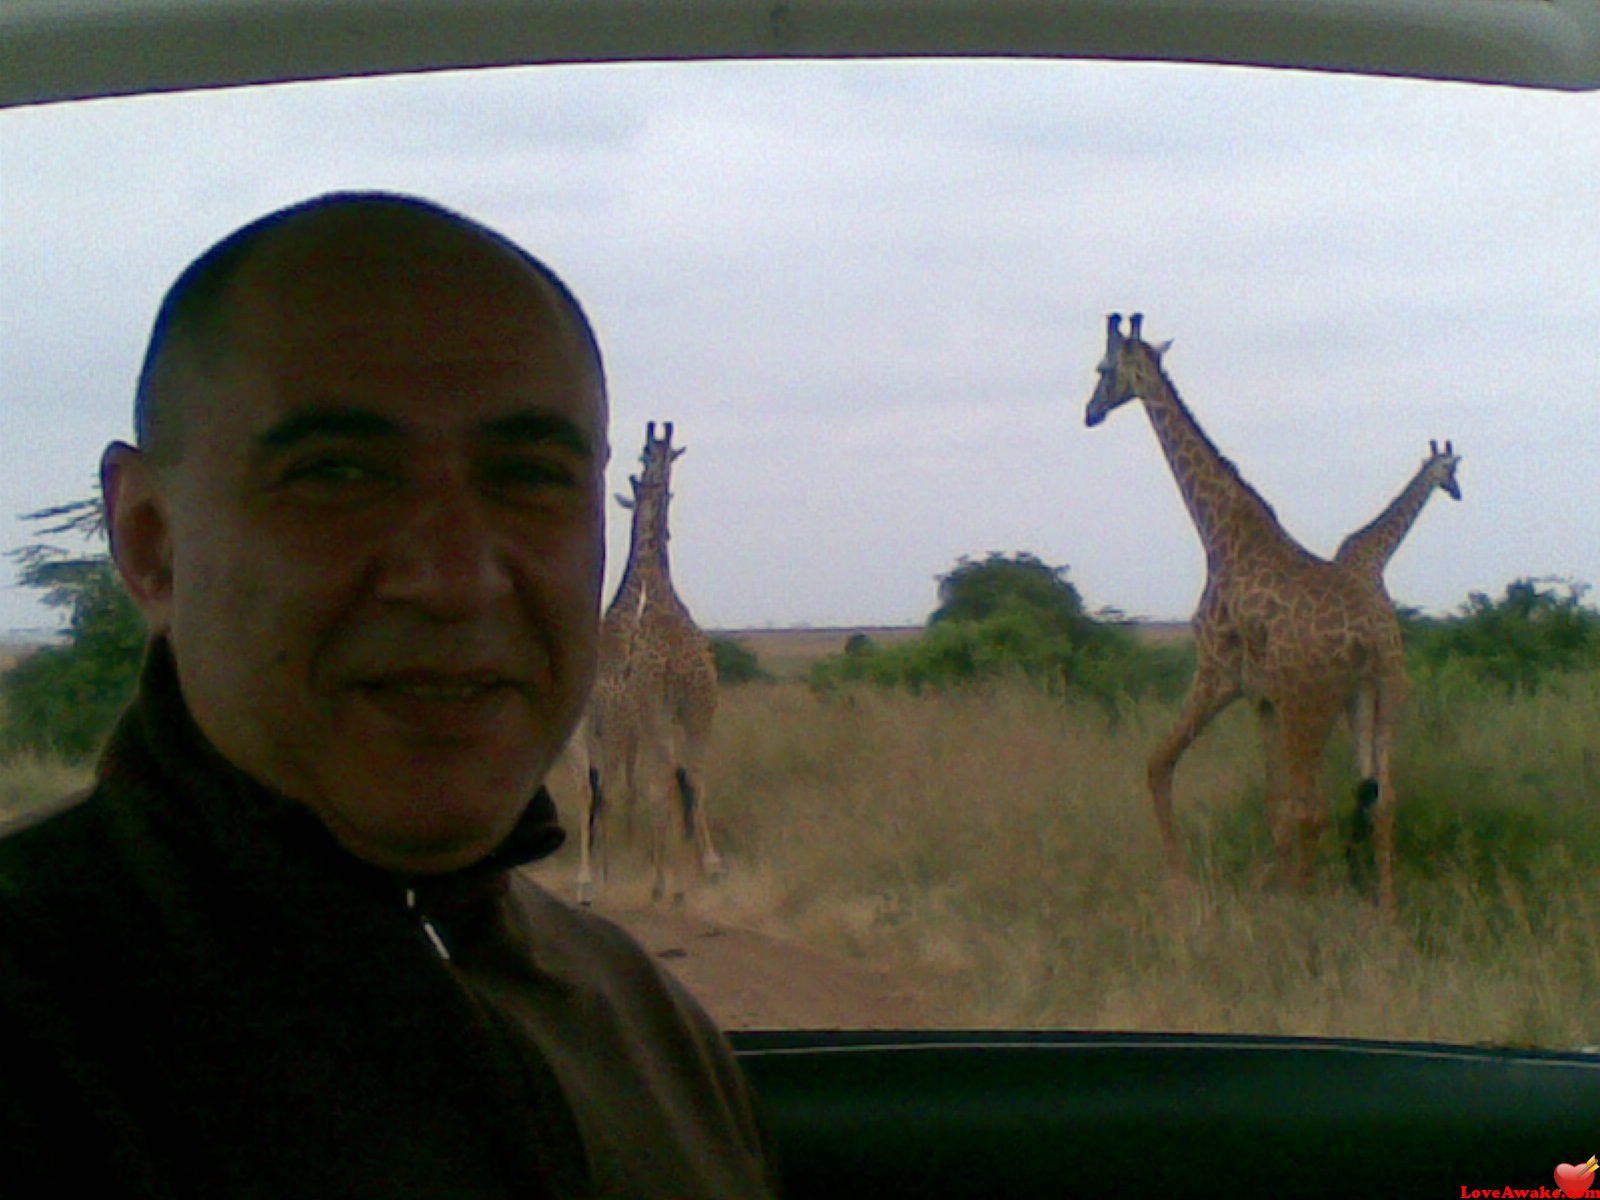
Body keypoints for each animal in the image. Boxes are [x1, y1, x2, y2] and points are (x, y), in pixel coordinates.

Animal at [576, 422, 726, 902]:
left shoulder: (661, 713)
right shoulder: (656, 713)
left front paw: (680, 871)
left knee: (619, 787)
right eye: (648, 454)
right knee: (607, 786)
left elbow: (662, 784)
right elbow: (664, 784)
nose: (651, 471)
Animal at [1081, 312, 1408, 908]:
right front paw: (1266, 883)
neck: (1219, 532)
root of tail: (1370, 640)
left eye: (1102, 368)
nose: (1090, 411)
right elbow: (1272, 807)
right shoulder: (1263, 700)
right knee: (1382, 801)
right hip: (1377, 696)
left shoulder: (1216, 672)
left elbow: (1158, 764)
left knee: (1315, 807)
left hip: (1312, 703)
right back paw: (1383, 912)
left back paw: (1306, 912)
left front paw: (1180, 878)